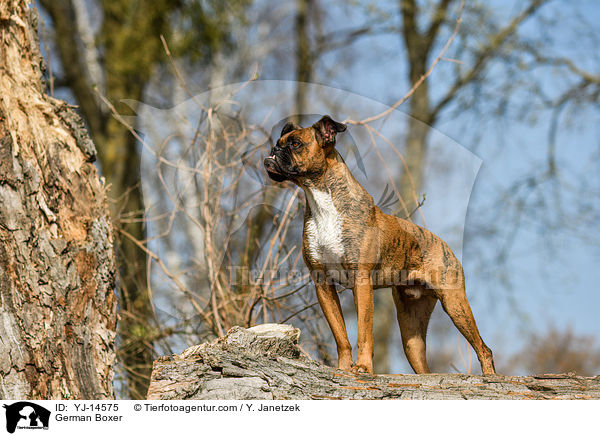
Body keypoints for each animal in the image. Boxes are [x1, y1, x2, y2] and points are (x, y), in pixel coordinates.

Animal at [264, 116, 494, 374]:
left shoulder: (361, 281)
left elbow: (364, 332)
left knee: (484, 349)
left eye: (295, 144)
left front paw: (363, 367)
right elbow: (341, 335)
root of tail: (443, 244)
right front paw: (344, 368)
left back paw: (489, 376)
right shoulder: (323, 283)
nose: (274, 150)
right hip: (411, 331)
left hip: (455, 303)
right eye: (278, 142)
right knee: (423, 367)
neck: (322, 202)